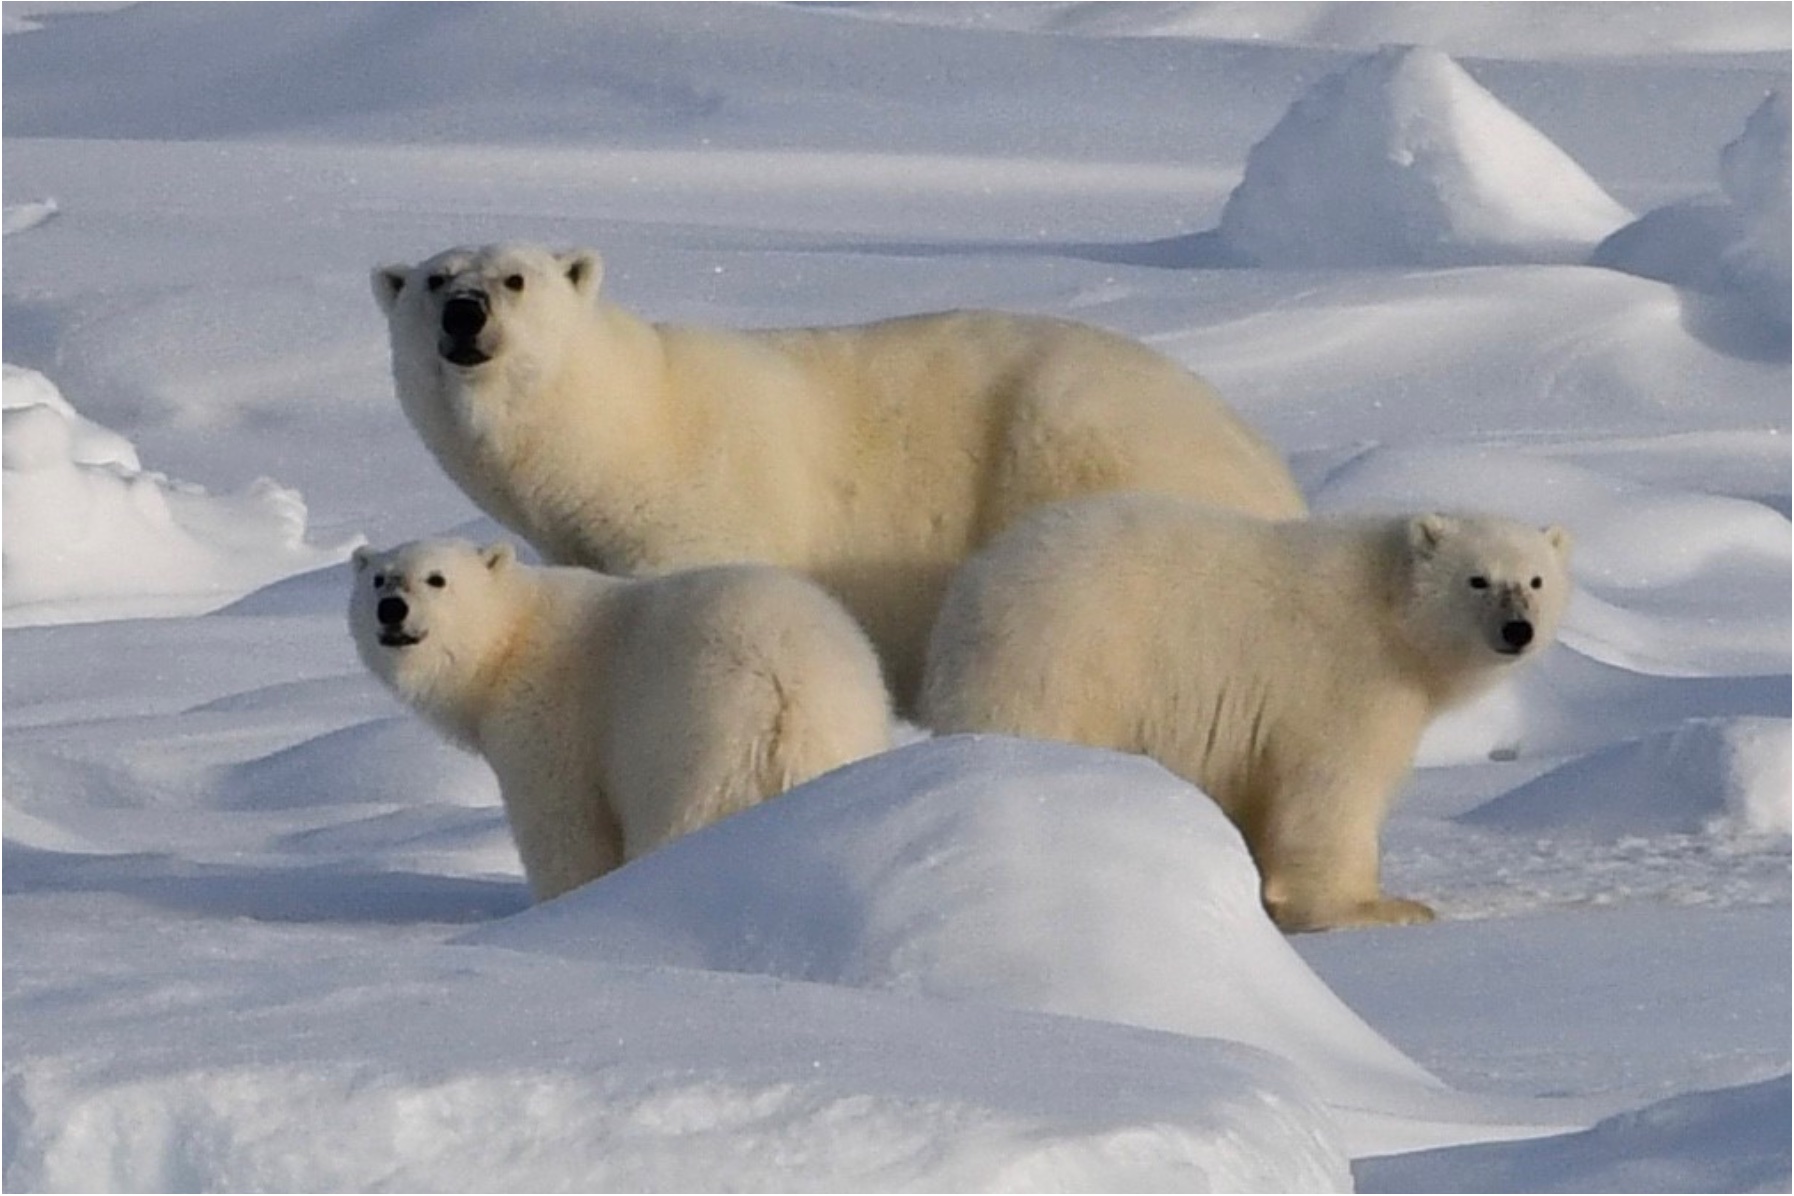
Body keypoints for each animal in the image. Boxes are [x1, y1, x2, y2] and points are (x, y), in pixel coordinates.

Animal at [348, 537, 889, 903]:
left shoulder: (549, 719)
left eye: (437, 578)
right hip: (840, 734)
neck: (509, 641)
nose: (391, 610)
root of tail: (786, 690)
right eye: (379, 578)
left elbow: (564, 826)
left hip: (691, 739)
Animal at [374, 245, 1306, 710]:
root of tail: (1266, 470)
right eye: (432, 279)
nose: (465, 314)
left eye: (515, 278)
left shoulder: (701, 510)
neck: (629, 427)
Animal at [925, 494, 1571, 932]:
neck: (1388, 613)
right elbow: (1332, 790)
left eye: (1536, 579)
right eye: (1477, 579)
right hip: (1065, 661)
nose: (1518, 629)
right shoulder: (1344, 683)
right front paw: (1377, 906)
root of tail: (971, 591)